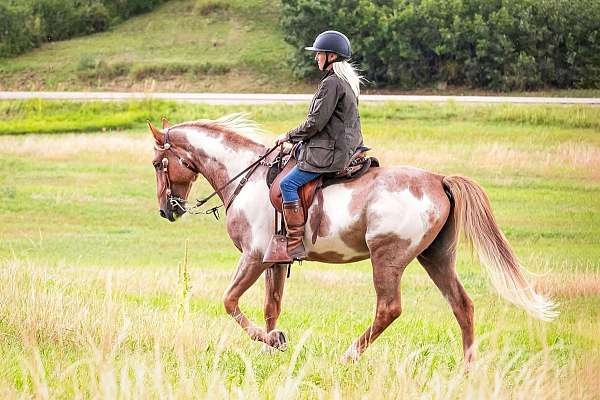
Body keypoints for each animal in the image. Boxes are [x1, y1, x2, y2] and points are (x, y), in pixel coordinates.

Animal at [145, 114, 556, 368]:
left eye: (156, 163)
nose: (166, 210)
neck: (245, 177)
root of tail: (438, 180)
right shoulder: (275, 261)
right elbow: (271, 308)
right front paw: (274, 344)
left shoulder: (254, 257)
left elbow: (230, 302)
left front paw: (272, 341)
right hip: (436, 258)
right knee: (463, 306)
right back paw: (468, 368)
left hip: (387, 259)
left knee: (389, 308)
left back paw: (349, 356)